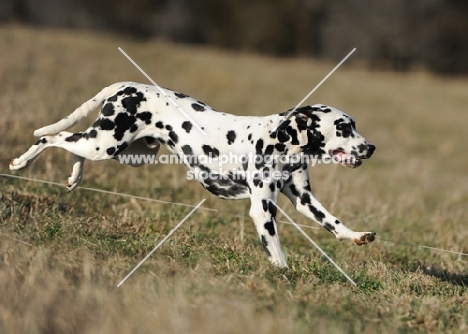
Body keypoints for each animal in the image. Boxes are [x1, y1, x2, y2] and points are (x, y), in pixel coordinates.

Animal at [10, 81, 376, 266]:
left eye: (354, 125)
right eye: (343, 127)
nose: (371, 147)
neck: (283, 140)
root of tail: (125, 85)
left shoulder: (304, 199)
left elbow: (334, 223)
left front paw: (357, 235)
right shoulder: (262, 210)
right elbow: (277, 253)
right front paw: (285, 279)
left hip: (126, 152)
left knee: (71, 145)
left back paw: (74, 178)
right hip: (105, 143)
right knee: (53, 137)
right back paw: (21, 164)